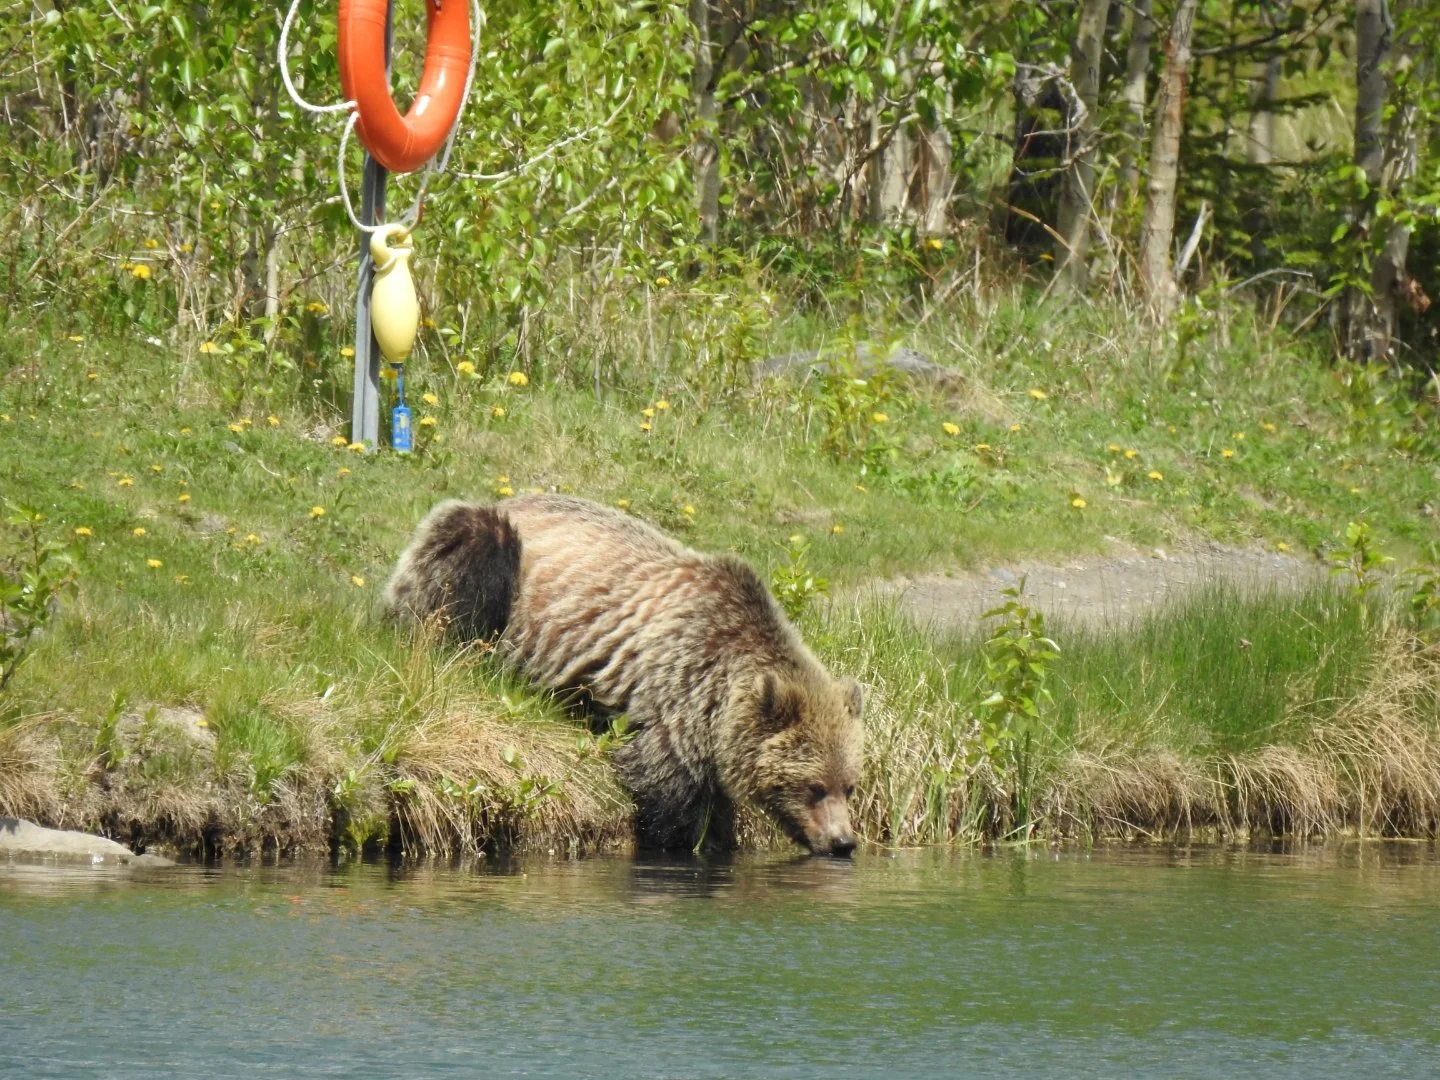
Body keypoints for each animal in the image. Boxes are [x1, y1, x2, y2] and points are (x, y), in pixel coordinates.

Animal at [383, 494, 863, 856]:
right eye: (814, 786)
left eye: (850, 787)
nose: (843, 842)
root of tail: (507, 497)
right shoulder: (675, 687)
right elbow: (670, 791)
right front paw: (698, 841)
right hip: (488, 553)